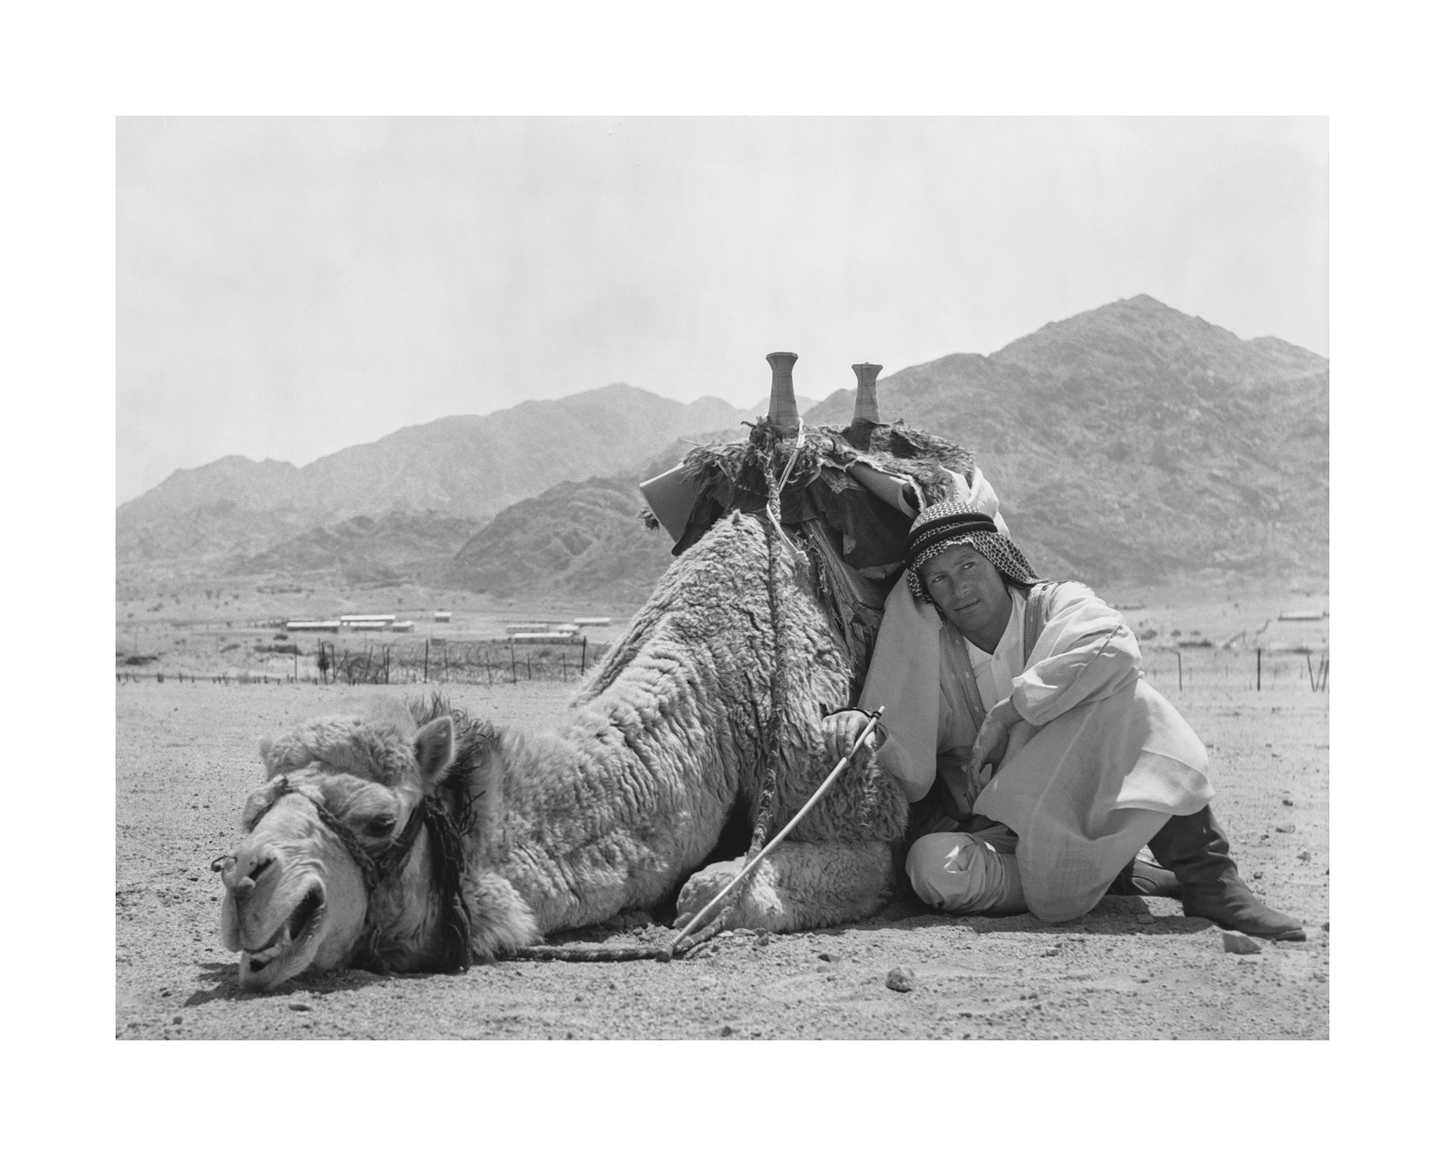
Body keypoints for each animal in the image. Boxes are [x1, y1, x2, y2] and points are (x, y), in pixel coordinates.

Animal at [217, 357, 975, 991]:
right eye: (253, 810)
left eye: (380, 821)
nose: (244, 883)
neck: (722, 690)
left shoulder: (850, 797)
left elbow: (707, 889)